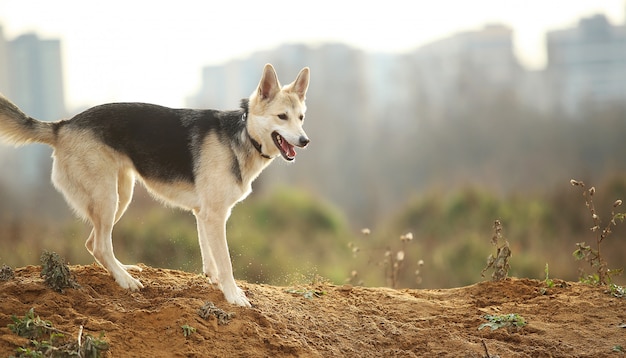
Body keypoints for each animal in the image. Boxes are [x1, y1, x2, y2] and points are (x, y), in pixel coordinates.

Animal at [0, 63, 310, 306]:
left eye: (301, 117)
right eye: (282, 117)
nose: (305, 141)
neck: (244, 135)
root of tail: (63, 125)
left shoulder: (204, 215)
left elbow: (210, 256)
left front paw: (214, 280)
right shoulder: (214, 216)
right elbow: (226, 262)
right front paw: (233, 295)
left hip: (121, 194)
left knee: (94, 242)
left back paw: (122, 270)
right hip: (107, 198)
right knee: (99, 244)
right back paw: (125, 280)